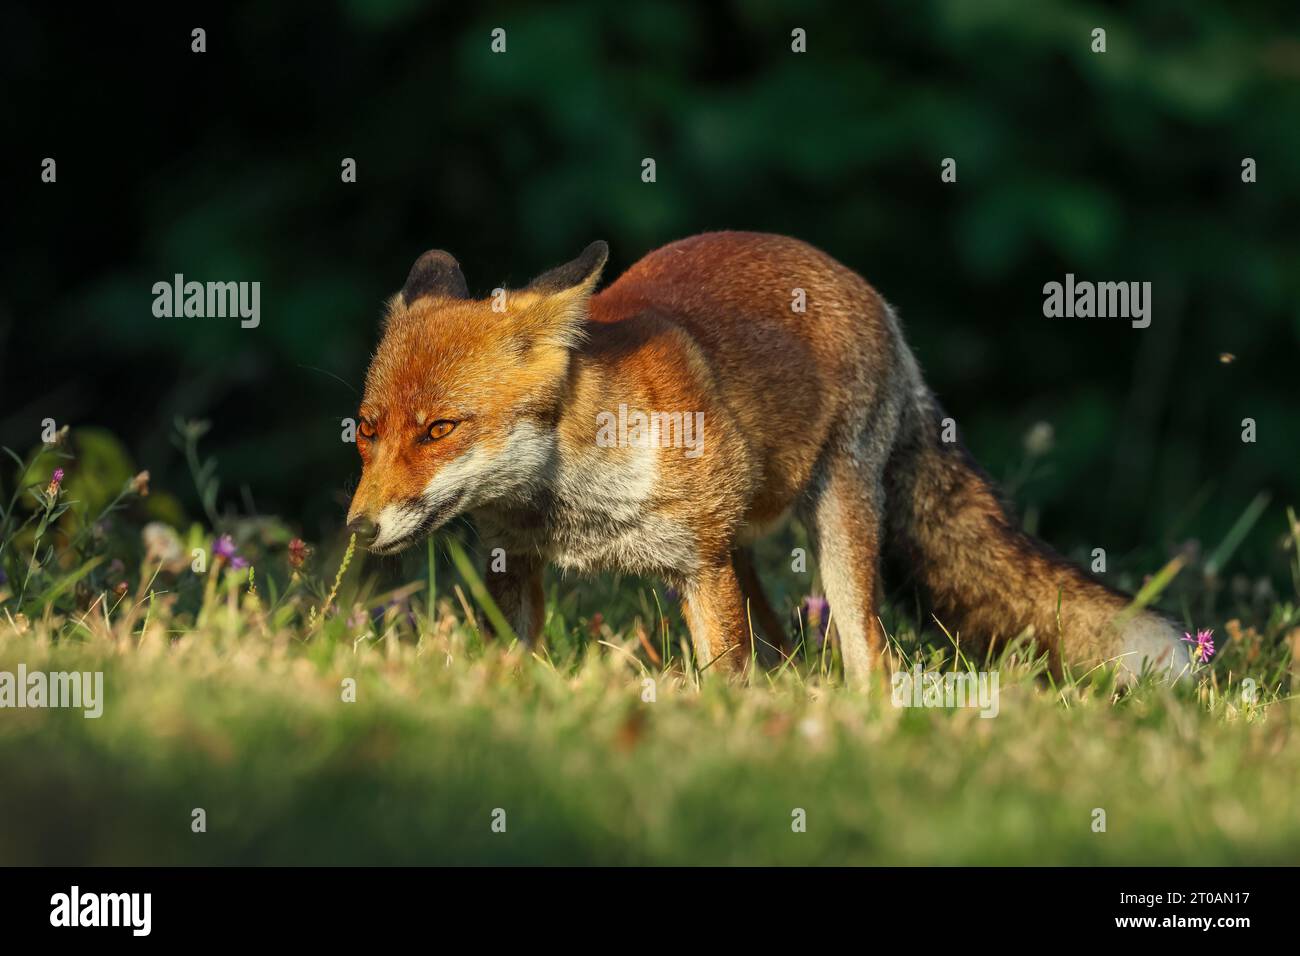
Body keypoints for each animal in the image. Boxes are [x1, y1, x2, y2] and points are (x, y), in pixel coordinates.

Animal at [345, 232, 1190, 686]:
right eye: (366, 430)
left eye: (441, 429)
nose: (358, 529)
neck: (573, 505)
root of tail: (864, 288)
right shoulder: (514, 562)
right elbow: (517, 659)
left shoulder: (698, 564)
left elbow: (723, 676)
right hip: (744, 545)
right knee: (783, 642)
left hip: (835, 525)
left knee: (868, 653)